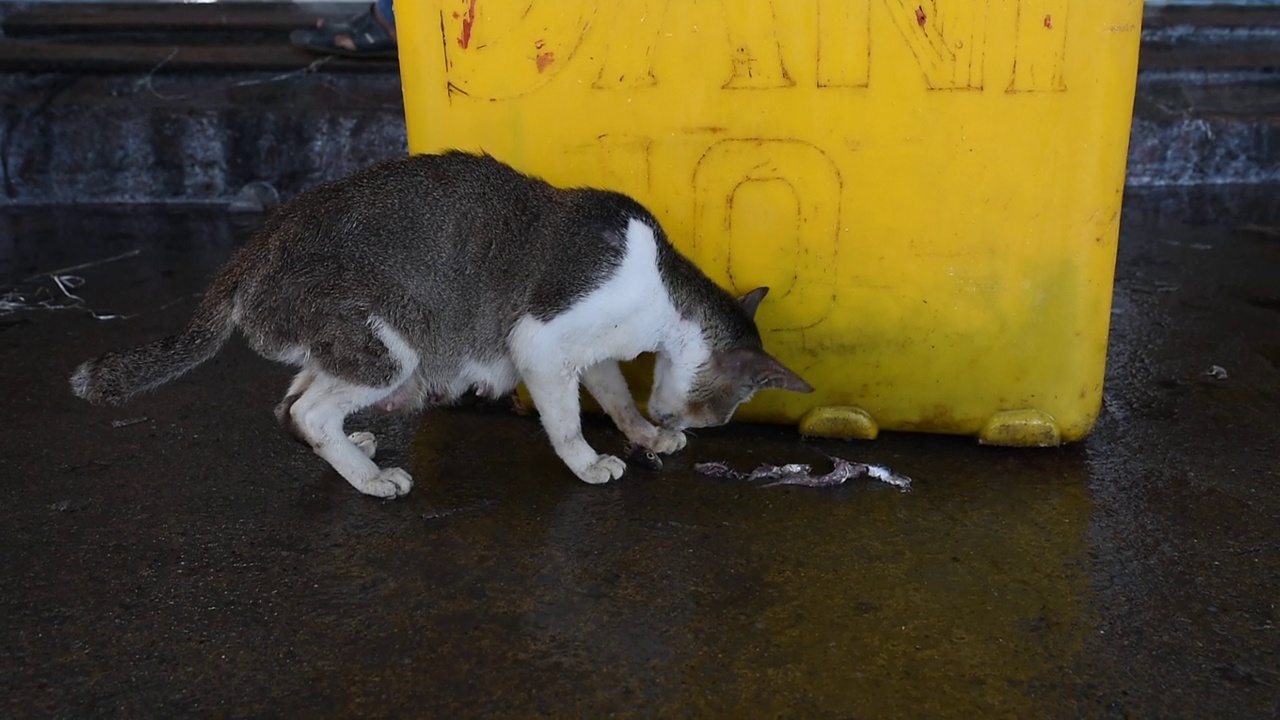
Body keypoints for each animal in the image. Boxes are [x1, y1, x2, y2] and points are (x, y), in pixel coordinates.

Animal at [67, 149, 808, 499]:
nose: (697, 427)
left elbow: (618, 397)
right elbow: (567, 422)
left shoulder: (591, 354)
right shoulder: (541, 342)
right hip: (387, 345)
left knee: (291, 405)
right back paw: (371, 480)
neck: (661, 300)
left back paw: (353, 451)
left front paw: (645, 434)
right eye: (723, 411)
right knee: (308, 411)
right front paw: (591, 463)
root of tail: (258, 246)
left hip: (342, 347)